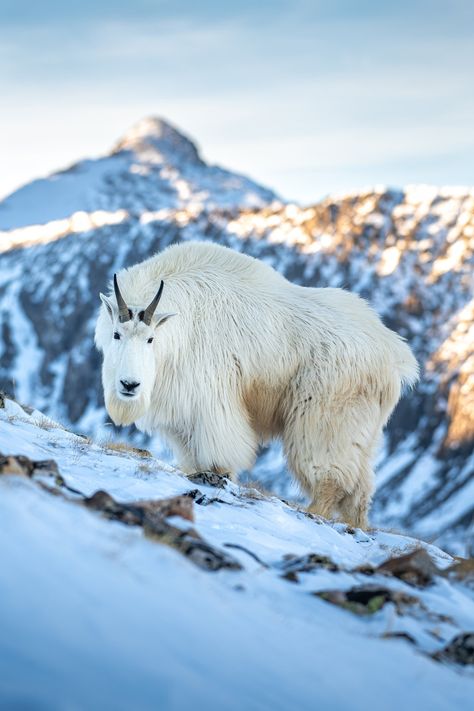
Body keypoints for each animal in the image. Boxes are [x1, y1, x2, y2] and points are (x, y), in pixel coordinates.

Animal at [95, 242, 418, 532]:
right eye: (116, 334)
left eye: (150, 339)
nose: (129, 385)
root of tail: (393, 355)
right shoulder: (181, 413)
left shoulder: (210, 400)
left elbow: (218, 454)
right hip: (363, 429)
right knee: (360, 488)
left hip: (326, 415)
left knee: (330, 473)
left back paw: (312, 511)